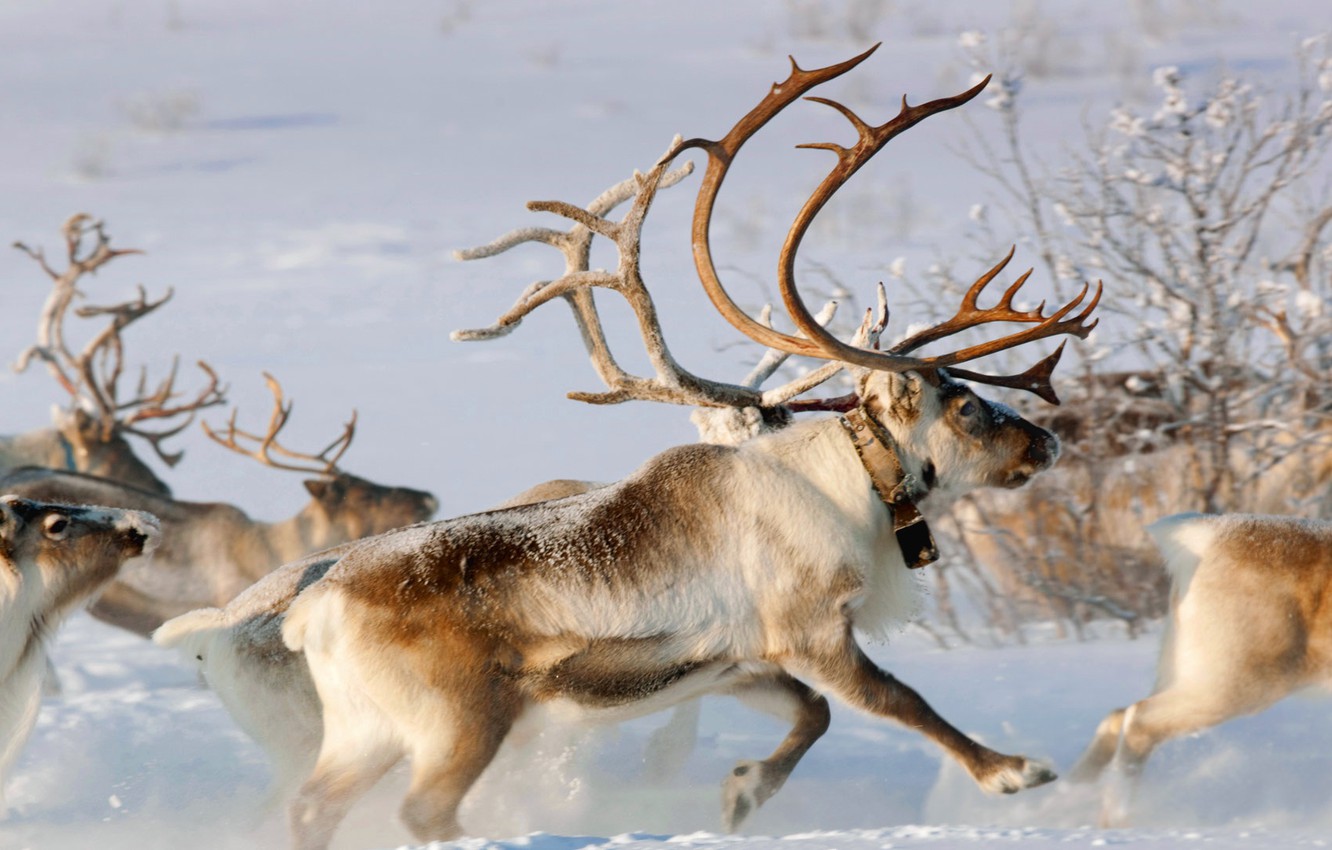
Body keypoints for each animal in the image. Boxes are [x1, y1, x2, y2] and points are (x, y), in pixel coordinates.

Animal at [1064, 512, 1332, 826]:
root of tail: (1208, 532)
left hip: (1183, 670)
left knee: (1118, 716)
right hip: (1235, 683)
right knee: (1139, 720)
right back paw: (1115, 816)